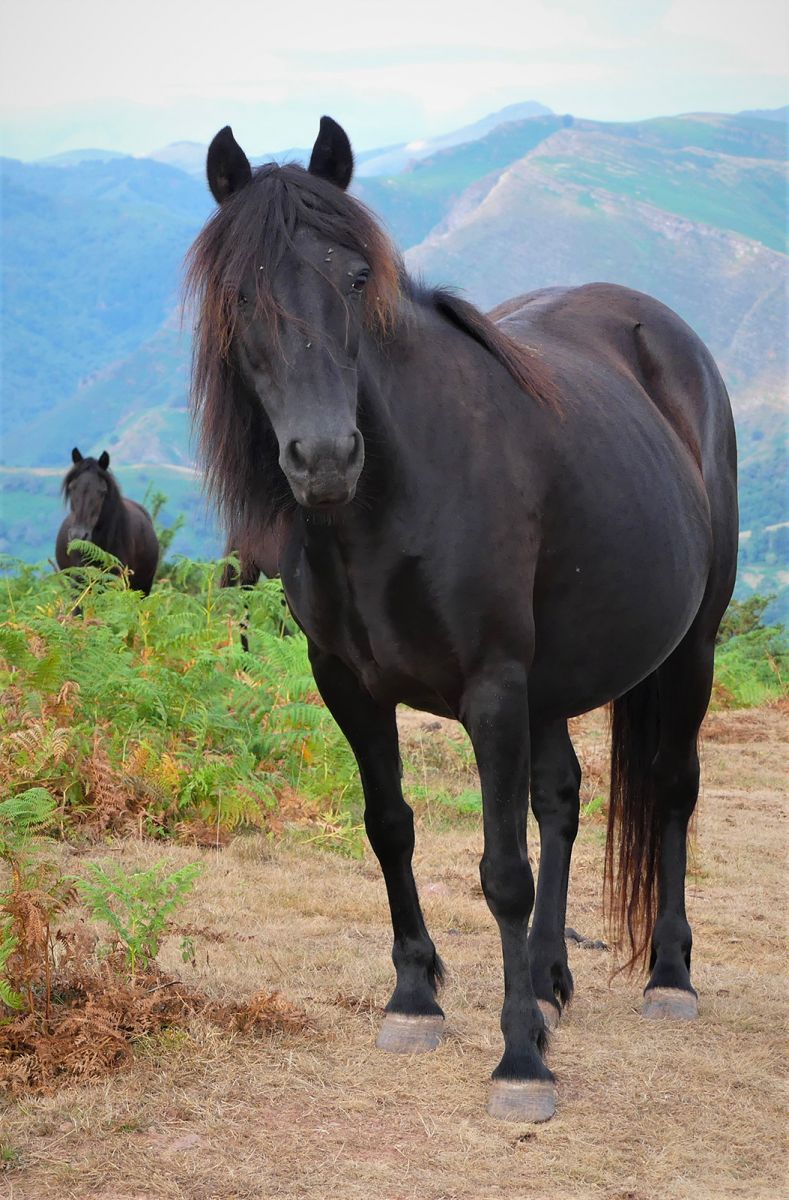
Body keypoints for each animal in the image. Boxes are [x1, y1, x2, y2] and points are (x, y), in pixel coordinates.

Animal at [184, 116, 738, 1122]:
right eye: (240, 294)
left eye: (354, 279)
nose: (324, 457)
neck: (393, 501)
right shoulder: (348, 685)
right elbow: (390, 827)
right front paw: (415, 996)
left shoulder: (490, 689)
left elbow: (501, 871)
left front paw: (519, 1061)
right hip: (555, 680)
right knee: (560, 800)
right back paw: (552, 978)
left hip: (690, 651)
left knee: (673, 789)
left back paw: (667, 977)